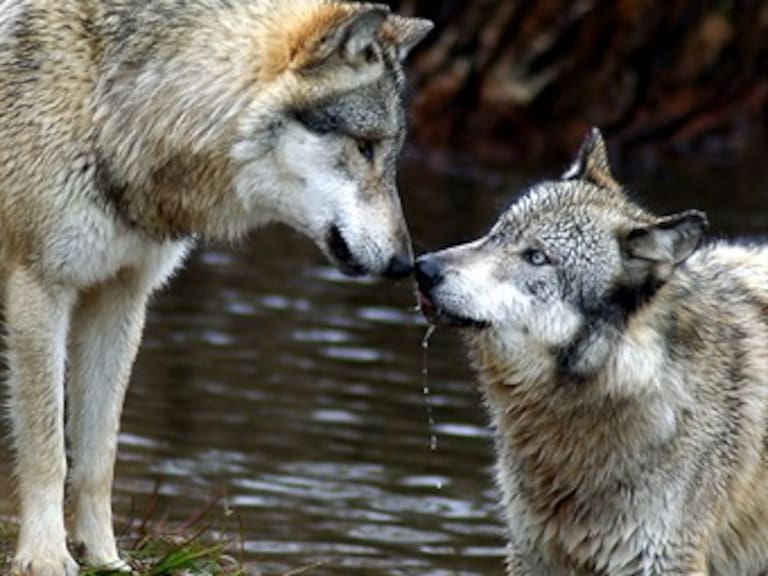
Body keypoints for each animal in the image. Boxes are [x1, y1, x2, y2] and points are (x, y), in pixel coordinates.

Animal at [0, 1, 432, 574]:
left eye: (391, 154)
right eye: (364, 147)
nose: (407, 265)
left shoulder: (121, 296)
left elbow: (98, 456)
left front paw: (105, 558)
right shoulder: (40, 287)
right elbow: (47, 448)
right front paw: (46, 558)